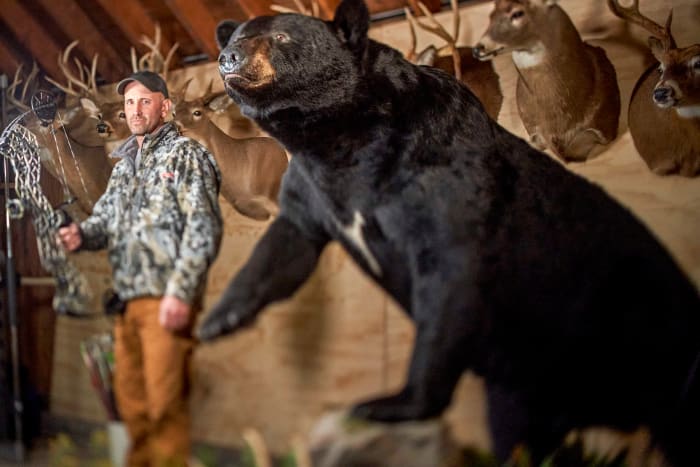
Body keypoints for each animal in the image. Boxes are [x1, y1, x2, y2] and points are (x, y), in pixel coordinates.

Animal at [199, 0, 700, 464]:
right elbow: (285, 247)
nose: (228, 58)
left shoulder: (440, 175)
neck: (336, 137)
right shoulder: (312, 190)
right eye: (237, 36)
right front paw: (218, 319)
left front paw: (388, 403)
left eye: (282, 37)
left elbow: (449, 276)